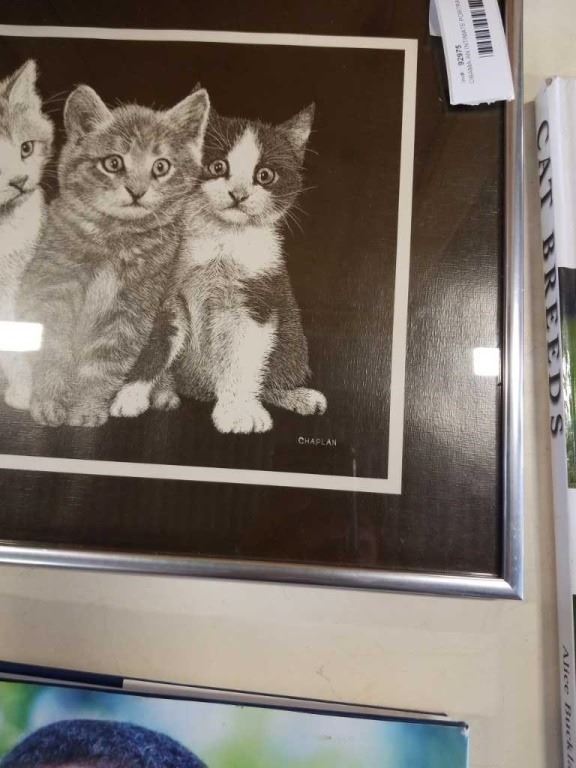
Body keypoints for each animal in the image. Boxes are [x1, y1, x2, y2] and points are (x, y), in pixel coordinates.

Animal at [17, 83, 210, 427]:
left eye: (161, 166)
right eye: (113, 163)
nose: (137, 191)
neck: (115, 237)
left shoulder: (134, 305)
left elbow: (108, 358)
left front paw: (87, 407)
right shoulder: (51, 288)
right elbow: (51, 347)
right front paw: (49, 402)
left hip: (171, 311)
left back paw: (157, 394)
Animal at [111, 105, 327, 434]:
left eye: (265, 175)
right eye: (217, 167)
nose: (238, 193)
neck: (221, 239)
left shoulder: (259, 294)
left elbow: (244, 355)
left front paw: (238, 412)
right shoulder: (167, 291)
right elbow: (155, 343)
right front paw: (130, 395)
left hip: (292, 341)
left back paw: (299, 397)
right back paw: (164, 392)